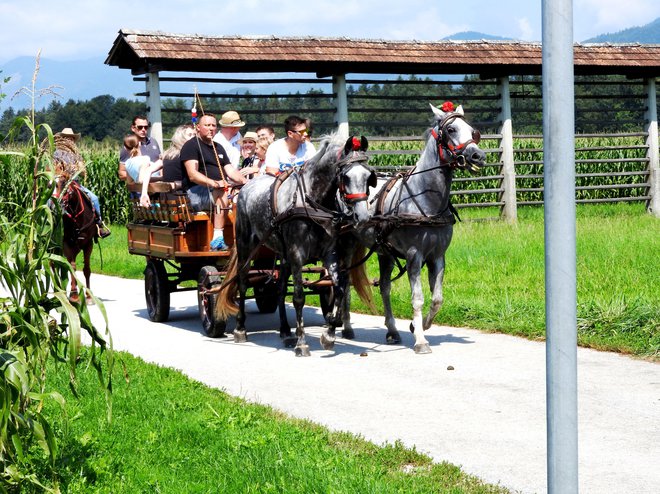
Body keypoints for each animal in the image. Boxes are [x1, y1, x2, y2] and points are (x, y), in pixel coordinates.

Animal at [217, 134, 376, 356]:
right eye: (345, 177)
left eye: (369, 176)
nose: (361, 216)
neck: (312, 201)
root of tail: (246, 187)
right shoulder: (297, 255)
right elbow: (299, 297)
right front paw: (302, 343)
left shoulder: (329, 253)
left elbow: (339, 289)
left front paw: (329, 334)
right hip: (246, 246)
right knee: (242, 282)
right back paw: (241, 329)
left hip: (284, 257)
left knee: (280, 289)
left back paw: (285, 331)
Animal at [346, 102, 484, 354]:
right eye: (451, 130)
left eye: (472, 130)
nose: (478, 155)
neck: (426, 200)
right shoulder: (414, 255)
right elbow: (417, 298)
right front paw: (420, 340)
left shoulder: (437, 256)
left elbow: (437, 298)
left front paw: (418, 325)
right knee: (341, 282)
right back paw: (345, 326)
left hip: (384, 252)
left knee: (385, 288)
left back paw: (392, 331)